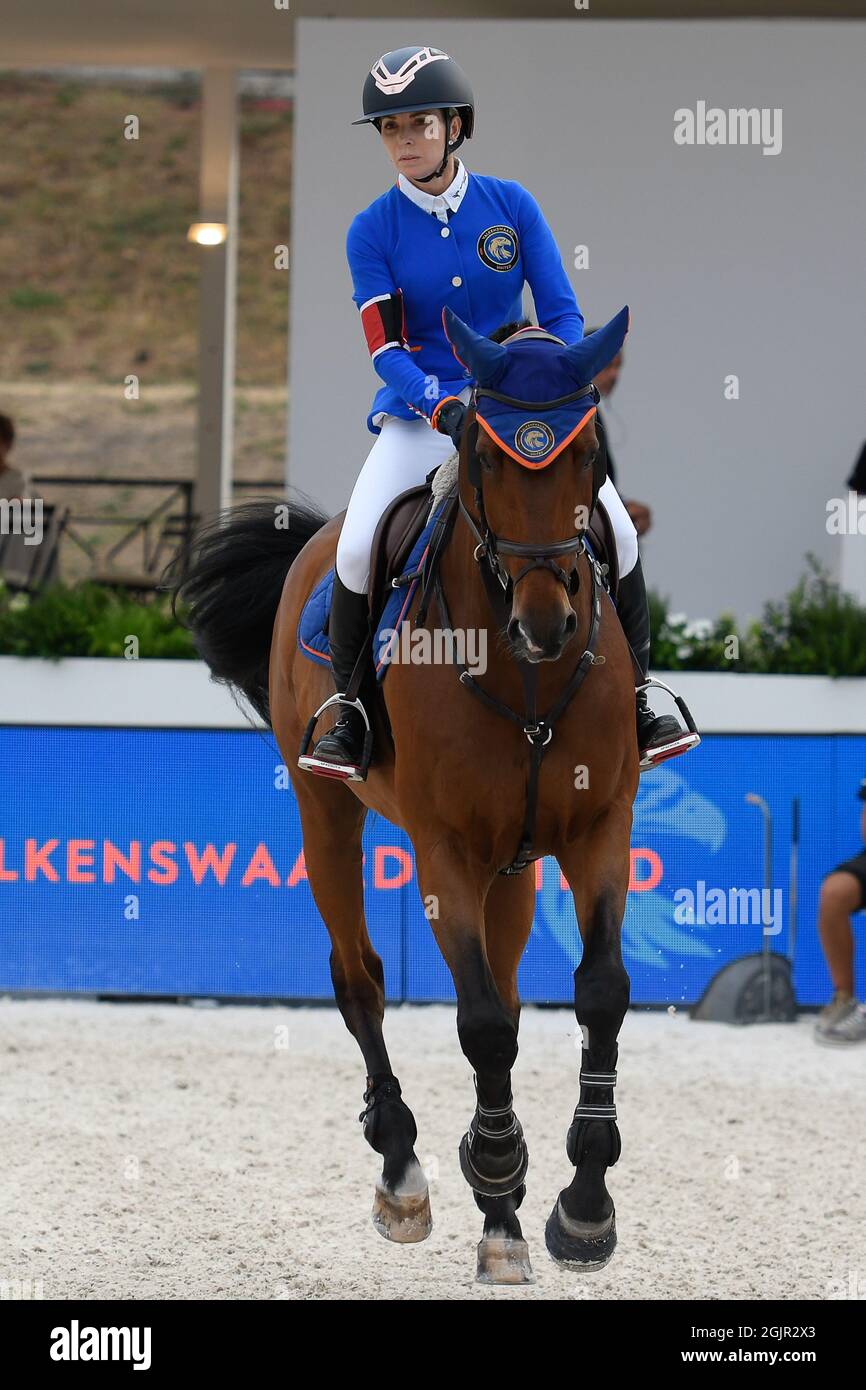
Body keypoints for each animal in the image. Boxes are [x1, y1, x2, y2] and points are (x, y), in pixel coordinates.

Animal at [174, 307, 636, 1278]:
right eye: (486, 455)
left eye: (587, 455)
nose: (548, 622)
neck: (527, 679)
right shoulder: (443, 852)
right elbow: (482, 1024)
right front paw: (496, 1183)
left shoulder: (599, 829)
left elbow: (598, 993)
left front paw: (581, 1204)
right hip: (328, 817)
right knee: (360, 979)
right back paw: (405, 1171)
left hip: (516, 864)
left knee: (504, 984)